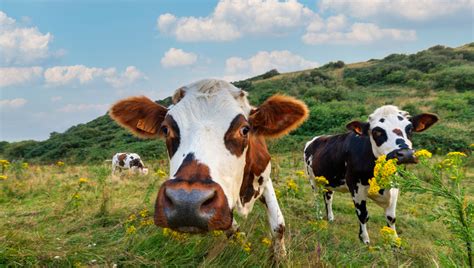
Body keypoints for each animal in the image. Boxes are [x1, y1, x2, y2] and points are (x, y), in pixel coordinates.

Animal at [109, 78, 310, 258]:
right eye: (165, 129)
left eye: (245, 129)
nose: (186, 204)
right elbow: (233, 230)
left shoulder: (265, 178)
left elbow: (278, 226)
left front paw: (280, 257)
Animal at [304, 105, 436, 244]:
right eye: (377, 132)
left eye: (409, 128)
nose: (405, 154)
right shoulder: (356, 187)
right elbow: (363, 215)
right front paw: (364, 239)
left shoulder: (394, 187)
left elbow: (391, 217)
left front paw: (394, 240)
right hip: (313, 180)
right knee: (317, 198)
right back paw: (319, 216)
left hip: (328, 181)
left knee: (328, 198)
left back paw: (330, 218)